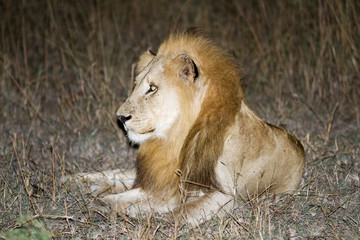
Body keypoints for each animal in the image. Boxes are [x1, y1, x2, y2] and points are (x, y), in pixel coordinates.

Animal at [67, 30, 304, 225]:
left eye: (152, 88)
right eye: (137, 86)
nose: (120, 117)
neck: (175, 140)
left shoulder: (226, 196)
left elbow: (182, 210)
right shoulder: (166, 179)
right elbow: (132, 194)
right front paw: (103, 202)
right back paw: (80, 181)